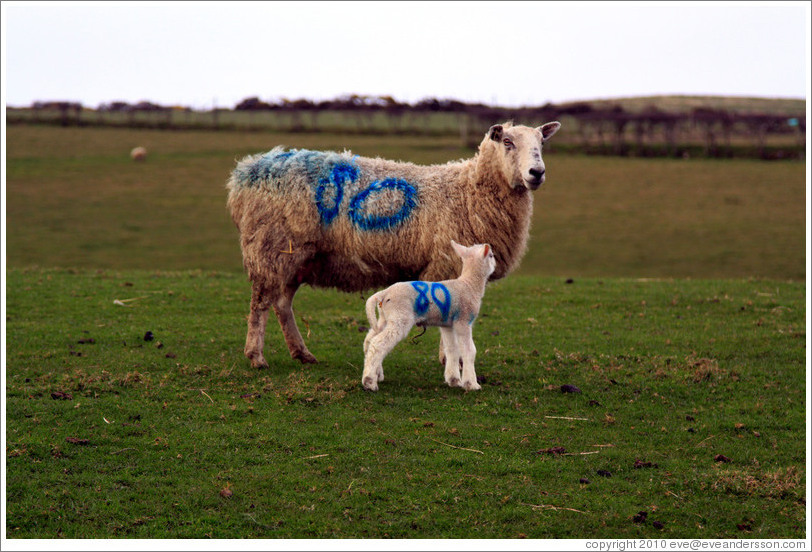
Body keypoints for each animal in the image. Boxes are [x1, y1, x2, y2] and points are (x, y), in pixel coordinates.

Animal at [225, 122, 560, 368]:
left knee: (282, 303)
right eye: (508, 142)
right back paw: (256, 356)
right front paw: (449, 360)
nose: (537, 173)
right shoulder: (447, 263)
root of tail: (246, 173)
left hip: (298, 257)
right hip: (272, 247)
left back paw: (301, 353)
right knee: (261, 302)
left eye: (541, 144)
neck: (470, 190)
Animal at [362, 242, 494, 392]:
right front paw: (471, 384)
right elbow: (469, 351)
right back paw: (369, 382)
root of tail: (384, 293)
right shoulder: (463, 321)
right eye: (491, 255)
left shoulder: (447, 324)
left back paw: (376, 374)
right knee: (378, 343)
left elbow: (451, 349)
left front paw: (454, 380)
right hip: (400, 318)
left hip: (385, 318)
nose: (495, 262)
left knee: (369, 340)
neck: (469, 285)